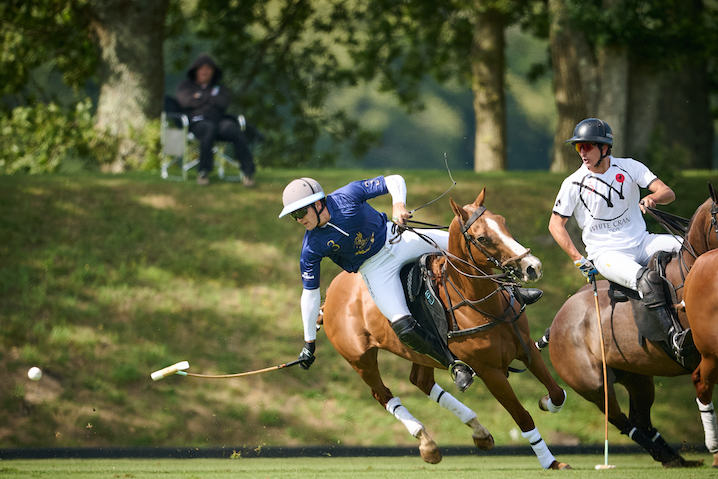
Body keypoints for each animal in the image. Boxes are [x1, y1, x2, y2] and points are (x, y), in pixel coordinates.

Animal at [320, 189, 571, 470]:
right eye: (482, 238)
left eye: (503, 221)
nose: (532, 266)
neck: (482, 303)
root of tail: (330, 292)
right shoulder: (490, 372)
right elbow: (523, 417)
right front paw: (551, 462)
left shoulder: (526, 345)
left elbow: (558, 394)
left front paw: (545, 403)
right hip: (360, 359)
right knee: (382, 393)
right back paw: (426, 442)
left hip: (420, 353)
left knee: (421, 381)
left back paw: (478, 431)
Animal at [546, 183, 718, 468]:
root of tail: (555, 322)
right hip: (593, 383)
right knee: (624, 422)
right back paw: (663, 456)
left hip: (637, 376)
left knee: (642, 419)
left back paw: (677, 459)